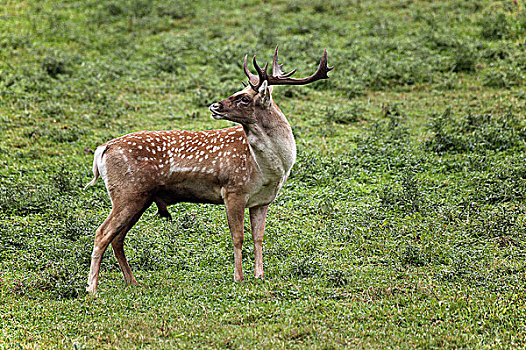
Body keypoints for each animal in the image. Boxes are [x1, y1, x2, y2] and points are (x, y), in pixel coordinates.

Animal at [86, 45, 334, 292]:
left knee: (117, 238)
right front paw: (238, 277)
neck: (267, 169)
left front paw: (259, 275)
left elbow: (258, 237)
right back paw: (92, 289)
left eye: (244, 98)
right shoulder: (233, 189)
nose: (215, 106)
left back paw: (132, 282)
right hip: (127, 192)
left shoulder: (261, 201)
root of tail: (102, 150)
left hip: (139, 197)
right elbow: (238, 237)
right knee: (102, 233)